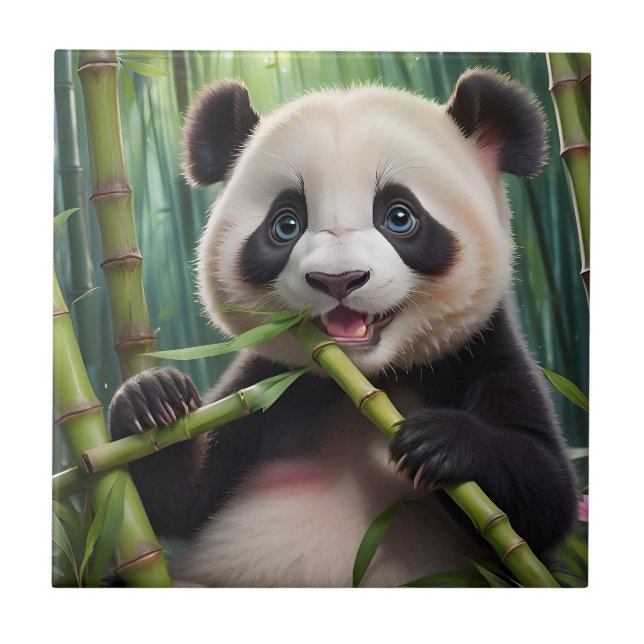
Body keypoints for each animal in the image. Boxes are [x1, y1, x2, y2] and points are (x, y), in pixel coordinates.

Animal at [109, 68, 578, 587]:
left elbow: (544, 500)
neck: (366, 381)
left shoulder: (477, 353)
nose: (339, 280)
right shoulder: (271, 385)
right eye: (285, 224)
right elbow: (175, 502)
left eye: (400, 216)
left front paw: (437, 441)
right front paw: (153, 399)